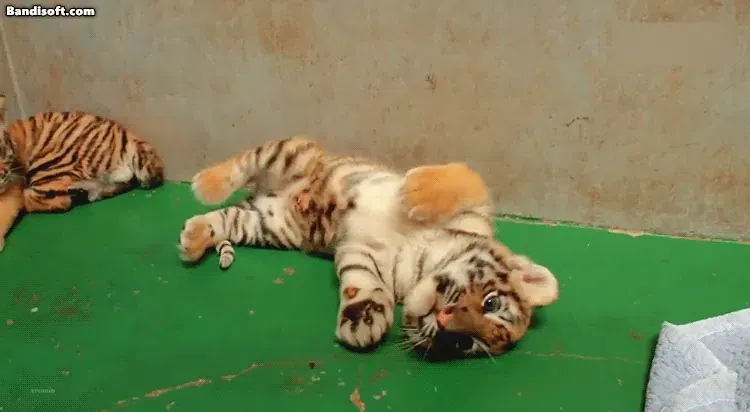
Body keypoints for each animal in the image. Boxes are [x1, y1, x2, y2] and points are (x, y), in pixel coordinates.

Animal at [178, 136, 559, 359]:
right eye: (491, 302)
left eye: (464, 344)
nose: (443, 320)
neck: (421, 262)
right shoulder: (475, 209)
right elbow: (463, 180)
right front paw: (411, 191)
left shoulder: (359, 252)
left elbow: (362, 282)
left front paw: (363, 319)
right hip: (290, 155)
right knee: (244, 161)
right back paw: (204, 184)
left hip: (270, 224)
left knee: (228, 217)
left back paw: (193, 237)